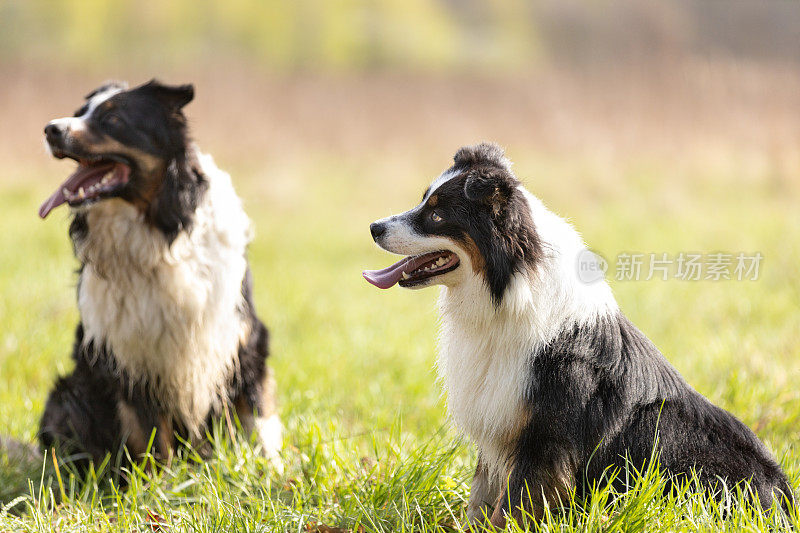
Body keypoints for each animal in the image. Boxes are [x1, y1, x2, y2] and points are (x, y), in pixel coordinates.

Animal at [37, 79, 282, 470]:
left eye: (113, 119)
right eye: (79, 113)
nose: (50, 129)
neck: (160, 232)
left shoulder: (240, 340)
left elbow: (257, 420)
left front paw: (271, 472)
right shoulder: (132, 354)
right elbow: (153, 439)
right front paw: (161, 482)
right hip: (69, 395)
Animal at [366, 143, 792, 524]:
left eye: (437, 215)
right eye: (424, 201)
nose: (373, 226)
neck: (510, 292)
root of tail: (784, 499)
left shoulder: (545, 437)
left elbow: (515, 506)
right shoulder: (499, 423)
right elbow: (481, 497)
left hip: (672, 439)